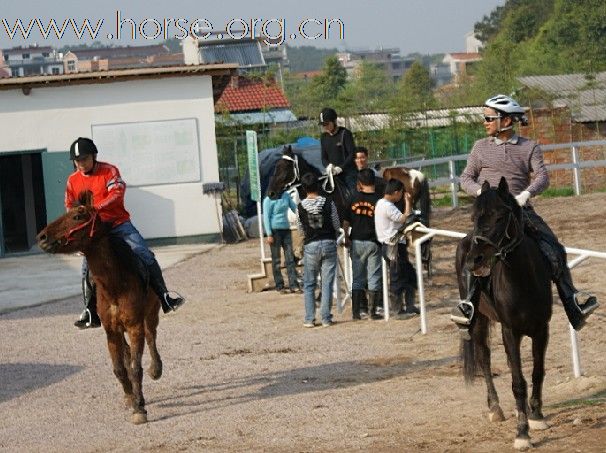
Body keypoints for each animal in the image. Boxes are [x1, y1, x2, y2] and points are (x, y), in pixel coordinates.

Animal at [36, 192, 163, 424]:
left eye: (78, 216)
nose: (41, 237)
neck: (116, 285)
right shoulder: (111, 331)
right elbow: (120, 369)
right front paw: (131, 399)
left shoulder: (135, 327)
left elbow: (135, 367)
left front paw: (139, 408)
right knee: (128, 352)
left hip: (151, 314)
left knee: (151, 337)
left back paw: (156, 369)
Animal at [456, 177, 556, 448]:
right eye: (473, 216)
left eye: (500, 216)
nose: (475, 260)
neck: (523, 280)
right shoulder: (509, 330)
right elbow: (518, 383)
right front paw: (522, 433)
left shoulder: (541, 329)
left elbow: (537, 372)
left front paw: (536, 416)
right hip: (479, 322)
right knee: (484, 359)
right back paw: (495, 408)